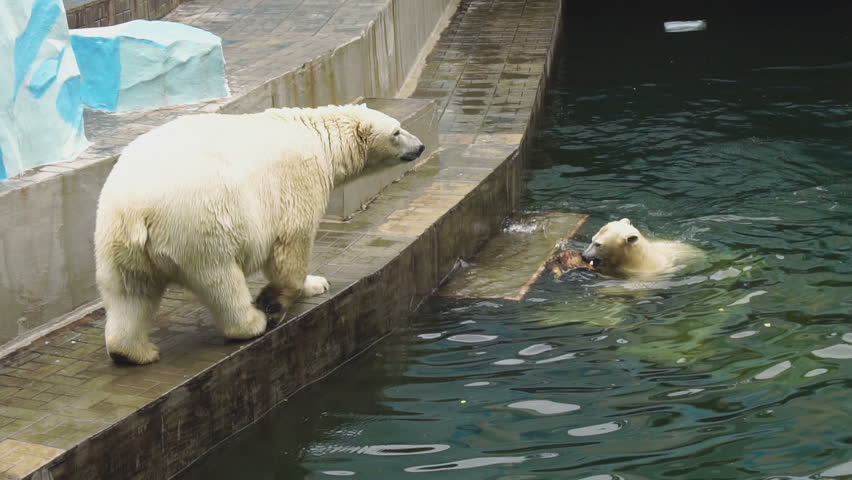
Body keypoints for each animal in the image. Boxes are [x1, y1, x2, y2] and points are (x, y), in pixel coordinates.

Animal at [94, 104, 425, 365]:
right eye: (397, 131)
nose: (420, 146)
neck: (319, 138)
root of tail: (135, 210)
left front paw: (316, 283)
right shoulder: (299, 180)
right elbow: (293, 243)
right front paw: (282, 298)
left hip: (114, 240)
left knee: (129, 292)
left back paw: (132, 352)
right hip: (199, 225)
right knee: (220, 278)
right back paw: (253, 321)